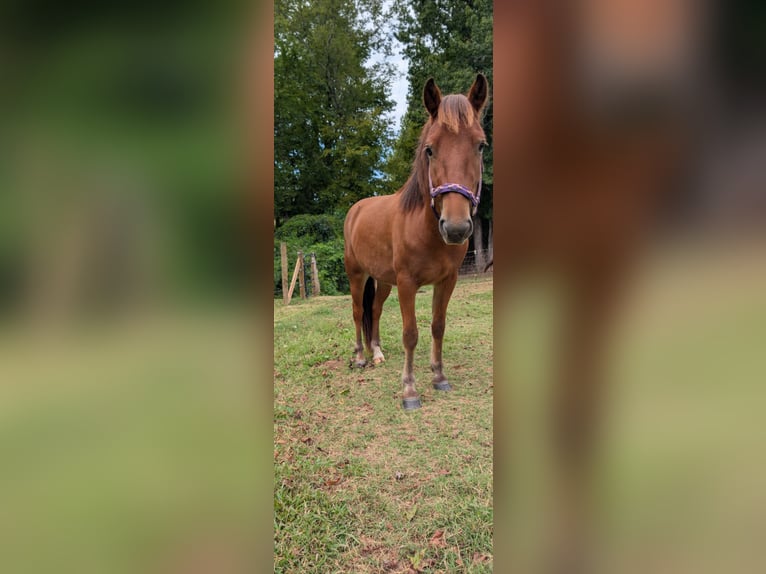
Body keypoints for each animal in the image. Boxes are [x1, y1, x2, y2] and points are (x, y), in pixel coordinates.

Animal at [343, 74, 489, 410]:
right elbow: (410, 333)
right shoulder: (408, 283)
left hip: (383, 281)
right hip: (357, 275)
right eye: (430, 150)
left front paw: (439, 377)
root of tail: (355, 210)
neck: (425, 230)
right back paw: (360, 357)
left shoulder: (447, 281)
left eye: (480, 145)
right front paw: (409, 391)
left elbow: (438, 326)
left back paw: (377, 353)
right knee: (357, 312)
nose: (456, 228)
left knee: (374, 311)